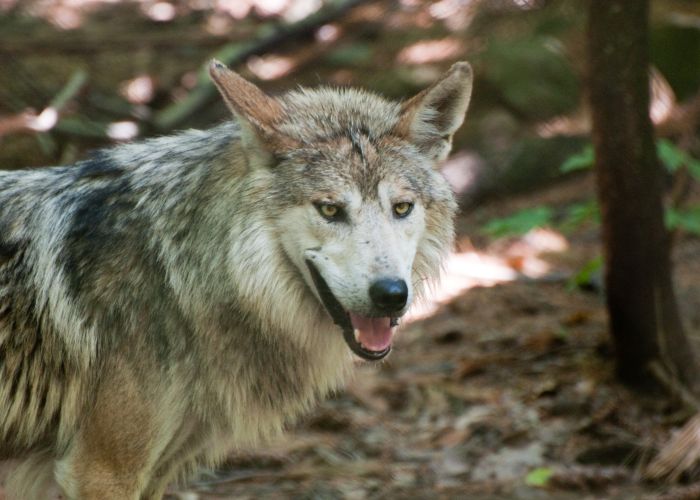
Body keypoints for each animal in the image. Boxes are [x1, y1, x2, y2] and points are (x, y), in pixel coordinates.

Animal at [0, 60, 470, 498]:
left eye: (402, 208)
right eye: (330, 209)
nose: (391, 295)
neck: (176, 274)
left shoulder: (155, 471)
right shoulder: (101, 471)